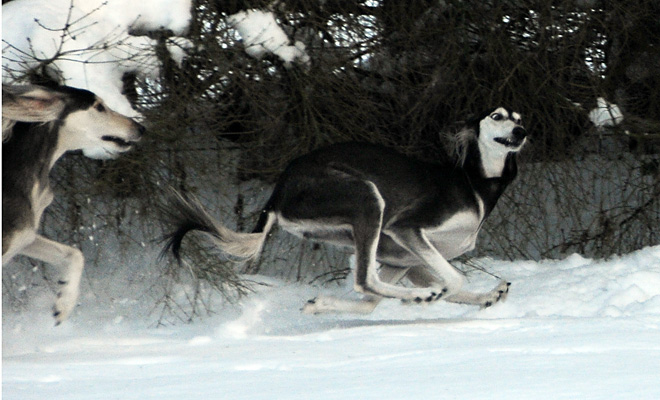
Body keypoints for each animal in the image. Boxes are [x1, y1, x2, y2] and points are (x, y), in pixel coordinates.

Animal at [168, 108, 528, 314]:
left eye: (519, 119)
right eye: (497, 116)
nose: (521, 132)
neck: (476, 184)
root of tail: (281, 188)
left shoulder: (402, 259)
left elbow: (373, 304)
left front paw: (486, 297)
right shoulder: (407, 229)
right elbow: (454, 279)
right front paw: (427, 295)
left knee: (368, 291)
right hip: (367, 198)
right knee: (365, 281)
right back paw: (424, 295)